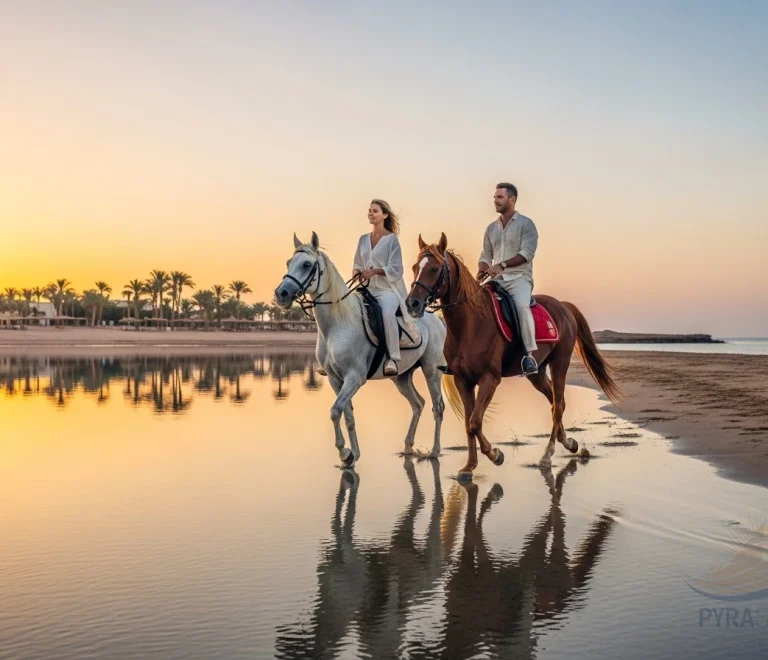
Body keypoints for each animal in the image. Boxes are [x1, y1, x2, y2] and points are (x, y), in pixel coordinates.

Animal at [274, 232, 447, 467]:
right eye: (289, 263)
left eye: (307, 264)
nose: (281, 293)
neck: (338, 324)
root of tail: (437, 321)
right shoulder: (335, 379)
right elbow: (347, 415)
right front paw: (352, 454)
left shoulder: (354, 378)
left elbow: (335, 411)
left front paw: (344, 453)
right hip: (402, 377)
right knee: (418, 404)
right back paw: (408, 447)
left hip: (431, 371)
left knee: (437, 408)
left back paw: (435, 451)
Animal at [405, 233, 622, 480]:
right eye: (415, 267)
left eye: (433, 269)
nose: (412, 304)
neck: (470, 324)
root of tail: (563, 306)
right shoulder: (463, 381)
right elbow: (469, 424)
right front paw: (469, 466)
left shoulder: (490, 379)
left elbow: (475, 422)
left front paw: (495, 455)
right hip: (536, 373)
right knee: (556, 403)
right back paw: (570, 443)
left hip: (560, 363)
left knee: (557, 406)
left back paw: (547, 455)